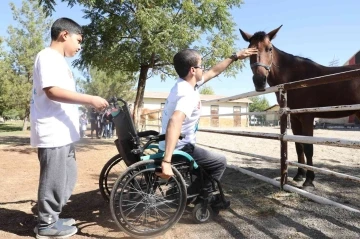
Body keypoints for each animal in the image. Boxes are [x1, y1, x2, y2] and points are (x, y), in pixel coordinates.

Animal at [240, 25, 360, 188]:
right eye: (249, 50)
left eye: (269, 48)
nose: (259, 81)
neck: (295, 76)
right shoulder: (294, 118)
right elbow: (298, 145)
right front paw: (299, 175)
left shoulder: (307, 117)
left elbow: (308, 147)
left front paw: (309, 180)